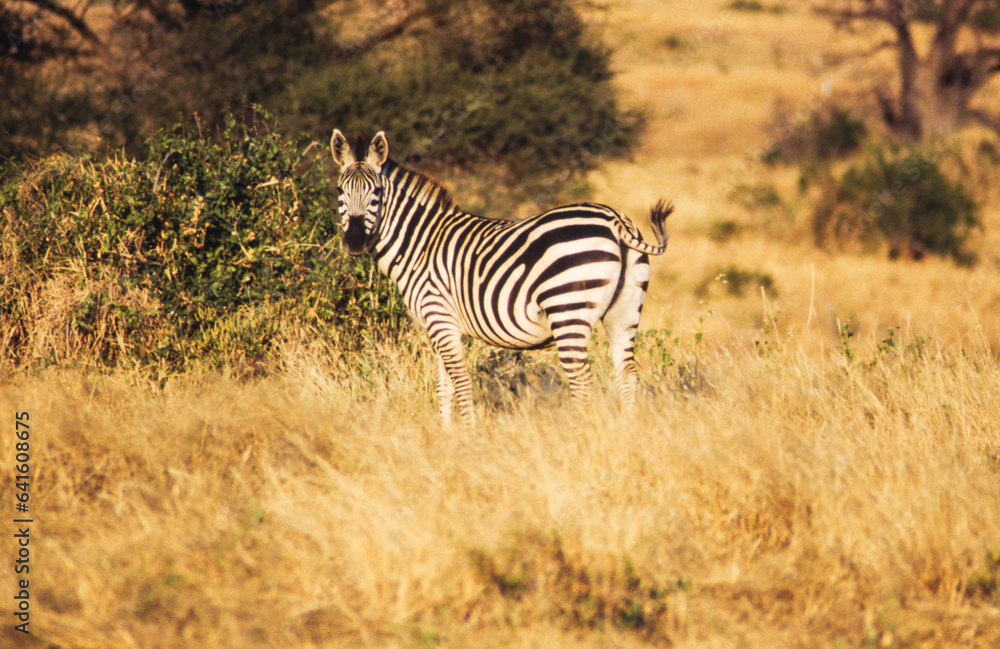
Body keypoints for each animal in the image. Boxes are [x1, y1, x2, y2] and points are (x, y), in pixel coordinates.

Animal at [331, 129, 671, 428]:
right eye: (339, 191)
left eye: (377, 193)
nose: (354, 242)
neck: (420, 244)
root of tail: (614, 219)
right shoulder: (440, 326)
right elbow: (444, 388)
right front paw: (447, 436)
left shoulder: (440, 318)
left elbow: (461, 383)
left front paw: (468, 437)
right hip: (624, 311)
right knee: (627, 374)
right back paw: (625, 432)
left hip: (567, 310)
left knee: (582, 381)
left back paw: (580, 433)